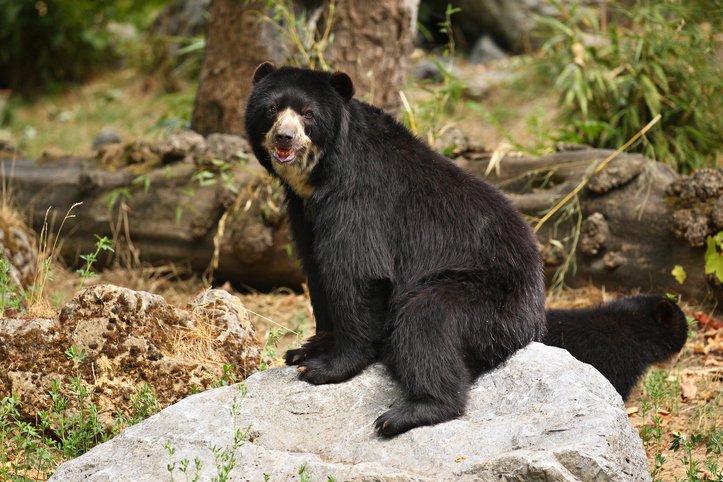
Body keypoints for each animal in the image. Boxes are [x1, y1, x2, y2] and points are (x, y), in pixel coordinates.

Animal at [246, 62, 544, 434]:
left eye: (308, 114)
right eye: (272, 109)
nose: (284, 137)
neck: (318, 175)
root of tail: (535, 313)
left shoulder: (359, 195)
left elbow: (357, 271)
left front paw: (325, 367)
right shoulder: (303, 211)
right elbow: (316, 268)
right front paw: (305, 350)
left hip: (487, 297)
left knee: (426, 322)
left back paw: (410, 412)